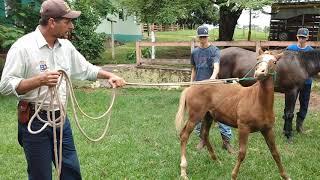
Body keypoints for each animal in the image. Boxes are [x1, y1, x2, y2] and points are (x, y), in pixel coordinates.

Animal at [175, 51, 290, 179]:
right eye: (258, 59)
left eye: (274, 61)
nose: (260, 72)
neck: (258, 101)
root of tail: (190, 88)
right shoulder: (243, 128)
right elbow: (242, 153)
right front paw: (233, 175)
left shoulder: (267, 129)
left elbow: (275, 152)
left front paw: (286, 176)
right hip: (195, 117)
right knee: (184, 135)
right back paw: (183, 170)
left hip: (208, 116)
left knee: (204, 135)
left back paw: (217, 161)